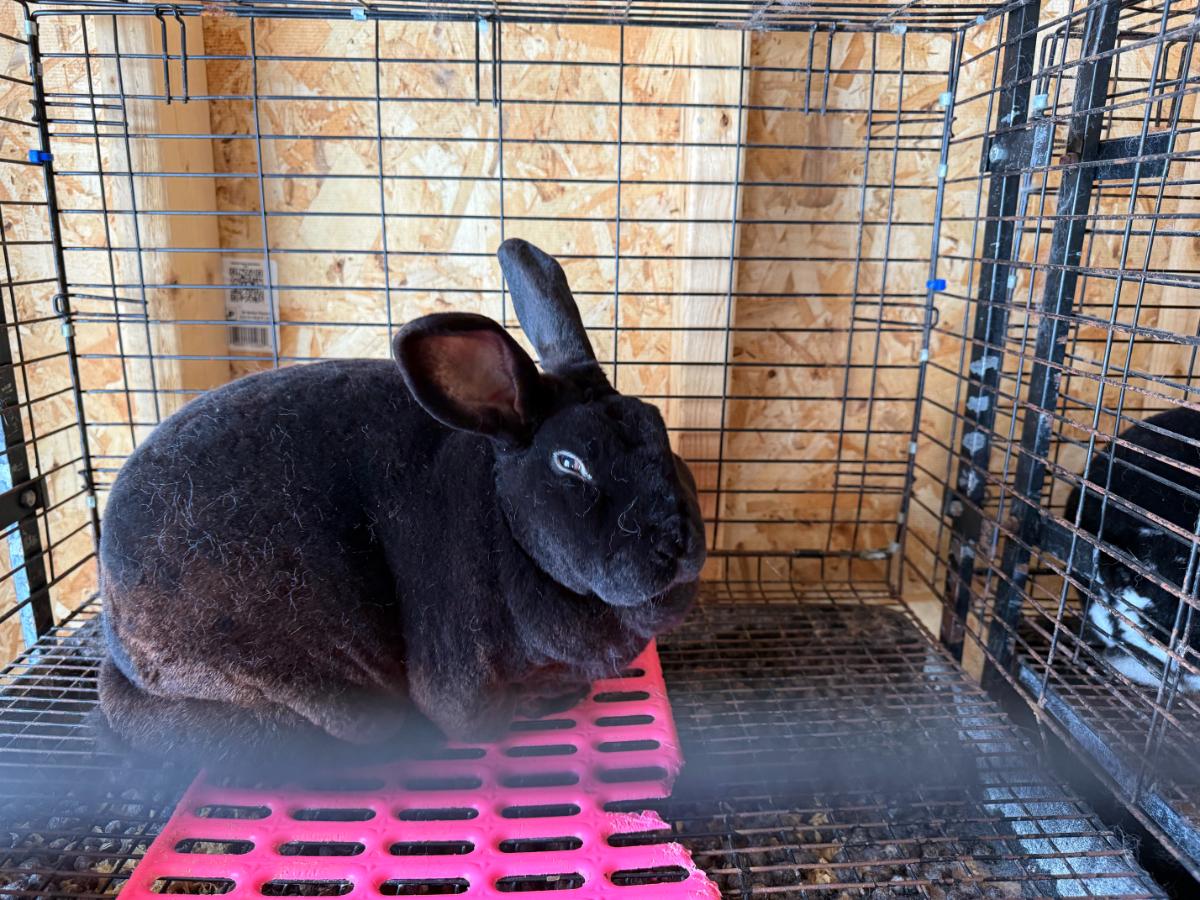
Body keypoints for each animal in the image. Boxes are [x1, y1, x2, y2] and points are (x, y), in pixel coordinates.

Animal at [96, 239, 707, 772]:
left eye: (656, 425)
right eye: (569, 463)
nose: (677, 542)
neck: (506, 523)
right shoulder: (461, 681)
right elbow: (479, 720)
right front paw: (547, 698)